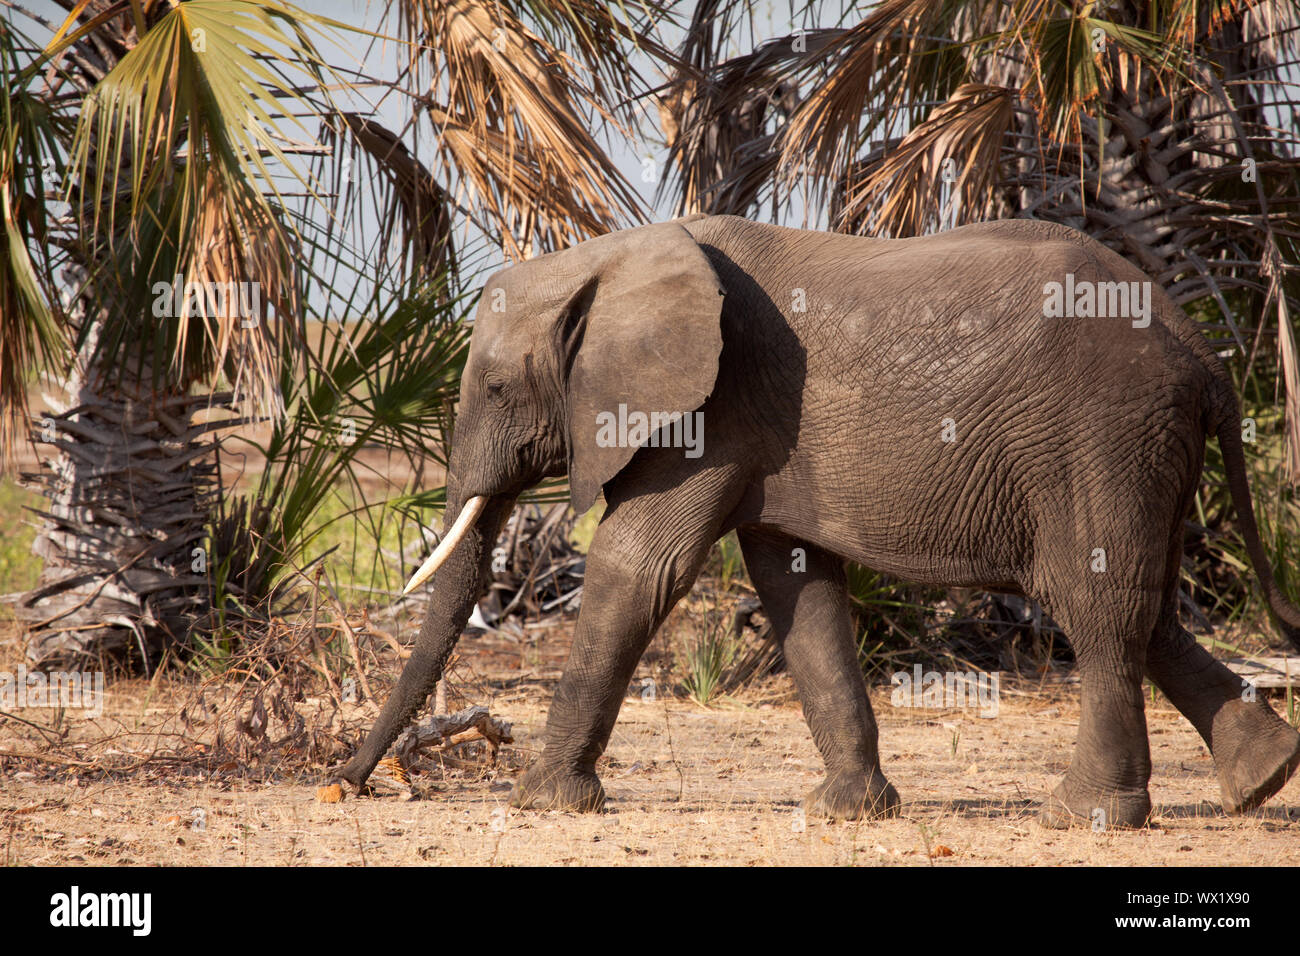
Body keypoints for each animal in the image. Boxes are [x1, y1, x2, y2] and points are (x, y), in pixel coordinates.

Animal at [335, 213, 1300, 827]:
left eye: (498, 388)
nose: (342, 785)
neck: (609, 256)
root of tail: (1203, 354)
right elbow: (796, 586)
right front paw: (847, 814)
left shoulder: (713, 409)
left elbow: (637, 568)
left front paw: (538, 803)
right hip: (1140, 450)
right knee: (1149, 607)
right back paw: (1261, 782)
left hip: (1101, 437)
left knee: (1095, 606)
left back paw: (1081, 816)